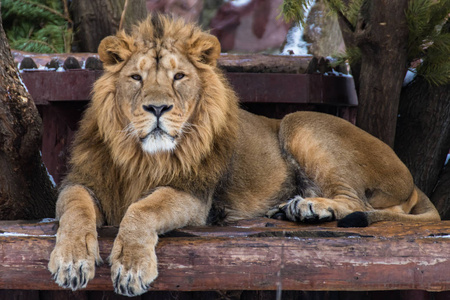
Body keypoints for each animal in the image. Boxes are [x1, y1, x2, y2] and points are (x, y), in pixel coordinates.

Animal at [48, 13, 440, 296]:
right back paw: (290, 208)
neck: (141, 156)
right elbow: (75, 209)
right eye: (135, 78)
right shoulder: (82, 182)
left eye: (178, 76)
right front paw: (71, 262)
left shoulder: (194, 196)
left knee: (357, 202)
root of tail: (411, 180)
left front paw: (131, 268)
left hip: (299, 122)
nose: (157, 108)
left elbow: (142, 209)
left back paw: (310, 207)